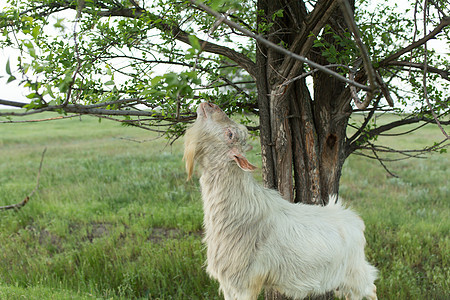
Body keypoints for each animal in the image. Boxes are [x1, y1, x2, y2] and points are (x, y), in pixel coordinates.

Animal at [183, 102, 376, 300]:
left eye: (230, 134)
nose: (209, 104)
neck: (241, 207)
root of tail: (354, 219)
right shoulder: (229, 283)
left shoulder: (245, 283)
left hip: (355, 273)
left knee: (372, 289)